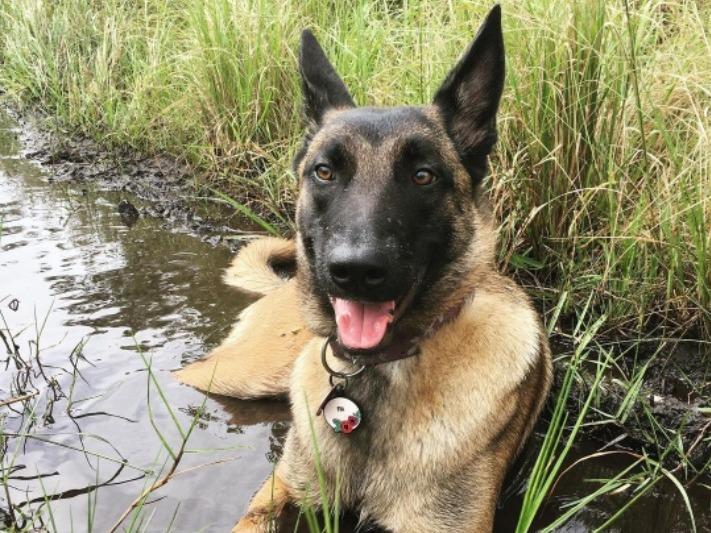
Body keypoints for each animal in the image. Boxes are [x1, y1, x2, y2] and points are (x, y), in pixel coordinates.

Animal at [175, 5, 552, 532]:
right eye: (325, 172)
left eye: (423, 176)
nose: (354, 270)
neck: (373, 377)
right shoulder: (280, 493)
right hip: (238, 375)